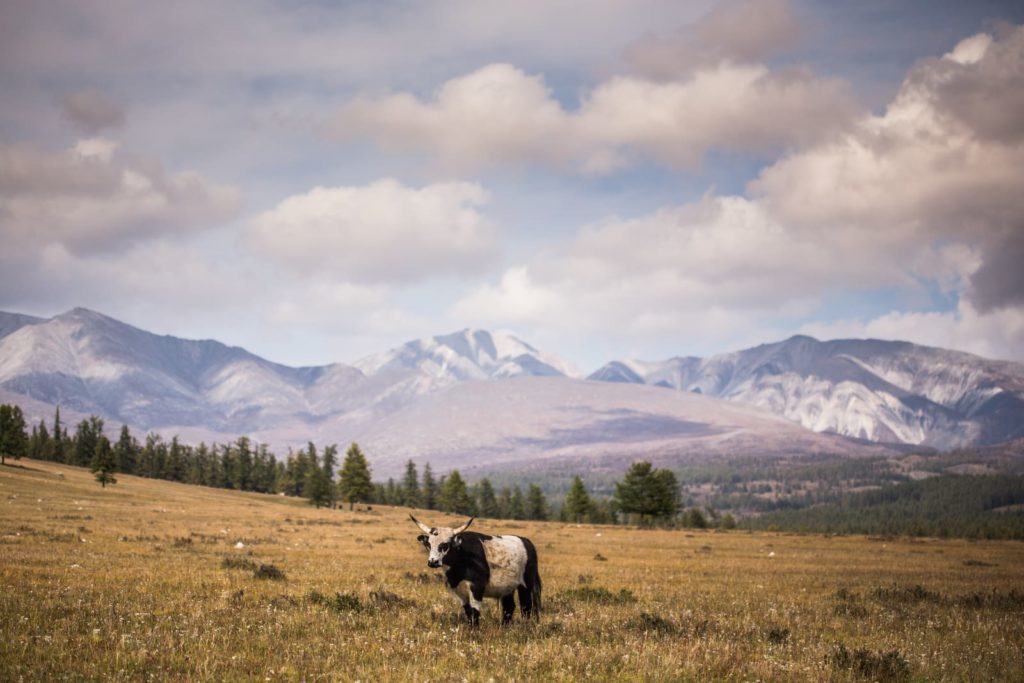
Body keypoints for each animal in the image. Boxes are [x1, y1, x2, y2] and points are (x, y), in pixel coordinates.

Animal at [407, 516, 540, 626]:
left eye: (446, 545)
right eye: (429, 544)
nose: (432, 562)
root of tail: (526, 541)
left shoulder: (476, 587)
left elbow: (474, 612)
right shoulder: (460, 591)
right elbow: (468, 612)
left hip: (526, 585)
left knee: (526, 607)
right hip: (507, 587)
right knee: (509, 607)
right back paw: (504, 627)